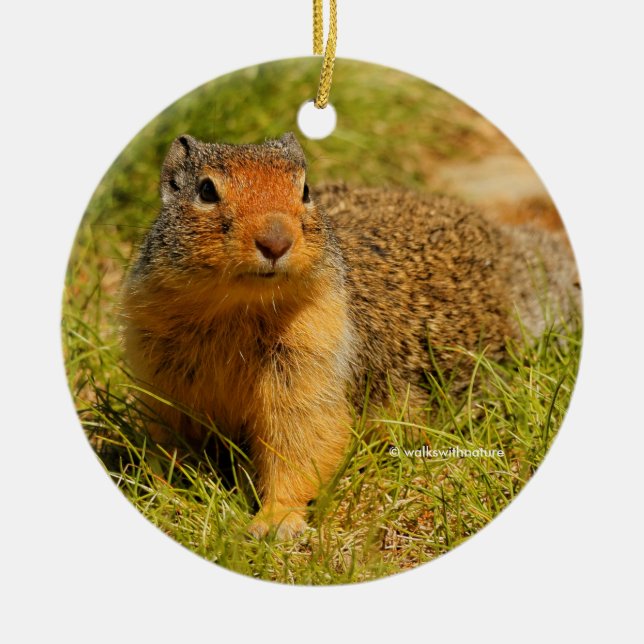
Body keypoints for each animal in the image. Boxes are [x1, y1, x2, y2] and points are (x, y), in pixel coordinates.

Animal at [122, 132, 580, 539]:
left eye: (305, 189)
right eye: (206, 190)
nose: (276, 241)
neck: (236, 308)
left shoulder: (312, 360)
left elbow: (303, 441)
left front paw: (276, 521)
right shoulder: (160, 370)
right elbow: (170, 441)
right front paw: (166, 494)